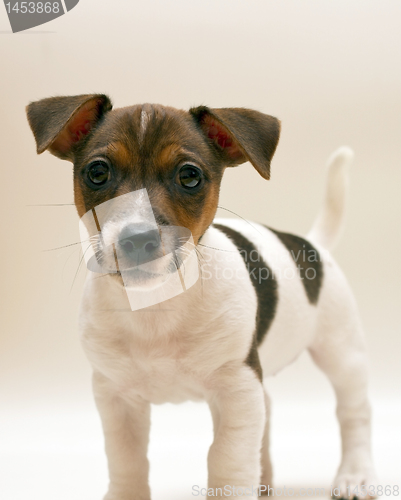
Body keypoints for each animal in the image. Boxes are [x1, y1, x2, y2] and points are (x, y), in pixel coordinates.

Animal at [26, 94, 376, 500]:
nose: (137, 239)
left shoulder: (236, 388)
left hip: (342, 352)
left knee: (354, 413)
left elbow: (226, 457)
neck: (158, 303)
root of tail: (312, 243)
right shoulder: (116, 396)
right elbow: (127, 458)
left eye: (189, 176)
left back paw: (355, 475)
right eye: (98, 172)